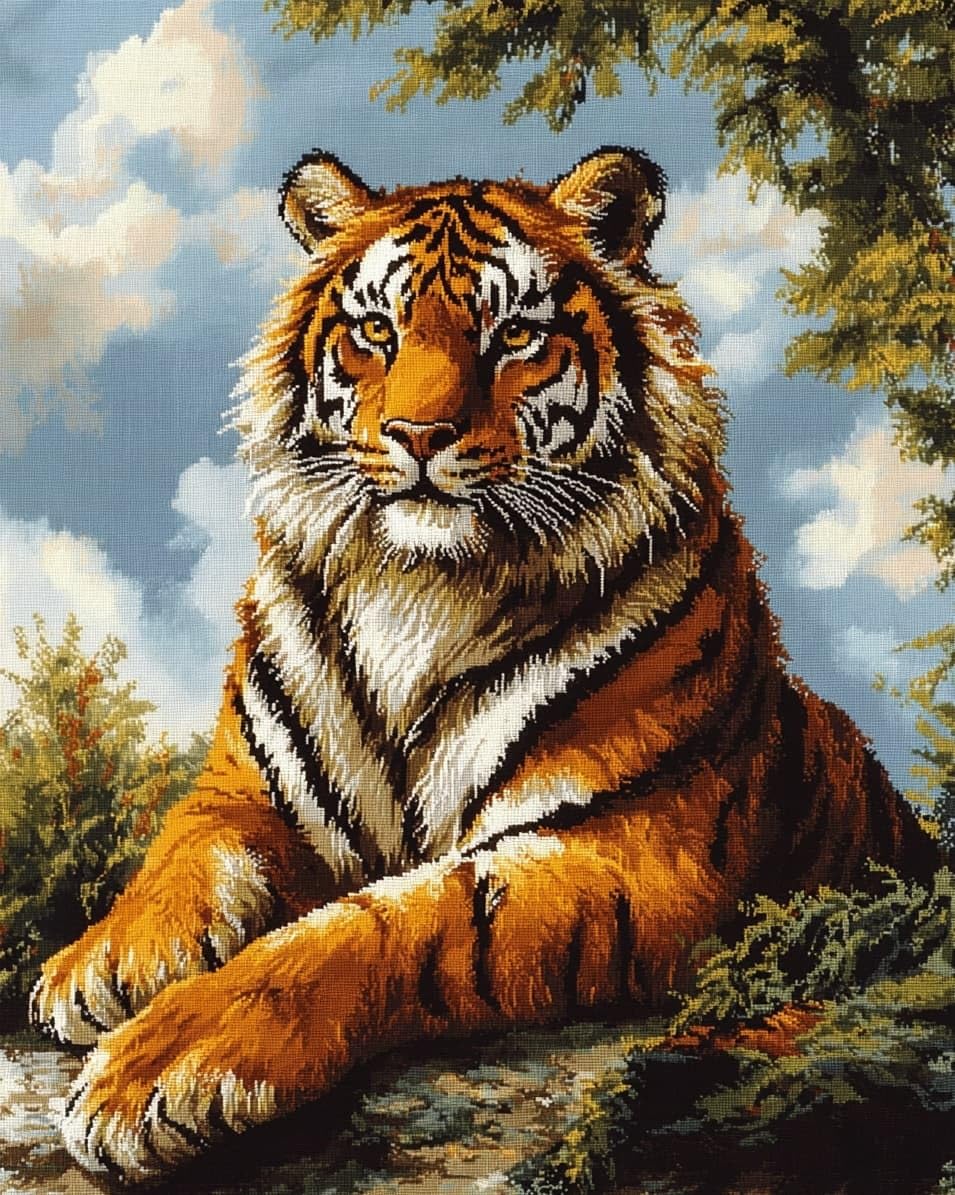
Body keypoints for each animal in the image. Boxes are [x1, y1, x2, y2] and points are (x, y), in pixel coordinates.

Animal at [31, 147, 934, 1182]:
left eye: (513, 336)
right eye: (375, 330)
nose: (419, 436)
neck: (418, 589)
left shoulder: (628, 850)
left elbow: (393, 923)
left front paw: (160, 1064)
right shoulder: (246, 786)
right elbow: (185, 848)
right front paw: (100, 961)